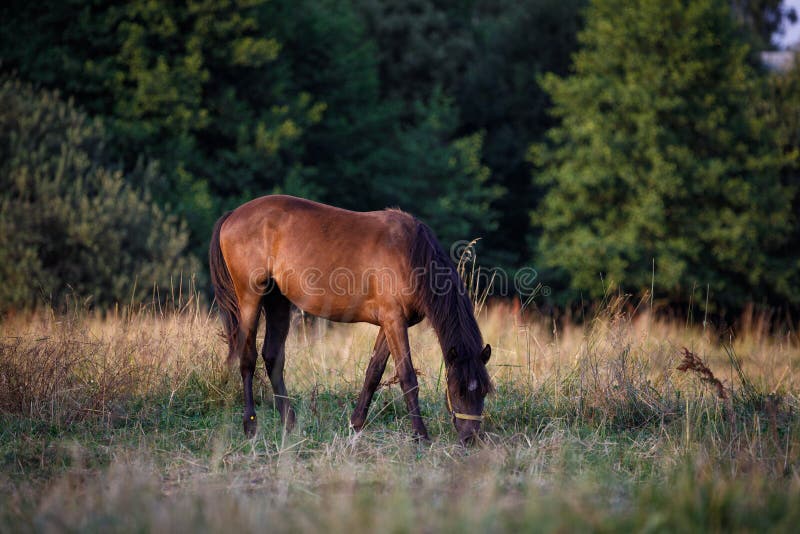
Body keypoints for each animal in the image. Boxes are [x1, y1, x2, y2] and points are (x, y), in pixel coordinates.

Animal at [209, 196, 490, 444]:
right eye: (457, 390)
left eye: (484, 391)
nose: (471, 438)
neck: (410, 255)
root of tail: (232, 215)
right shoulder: (394, 321)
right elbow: (407, 377)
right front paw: (421, 435)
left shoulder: (390, 324)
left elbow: (374, 372)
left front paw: (355, 424)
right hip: (250, 298)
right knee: (248, 358)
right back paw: (250, 426)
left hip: (277, 300)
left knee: (273, 357)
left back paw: (289, 424)